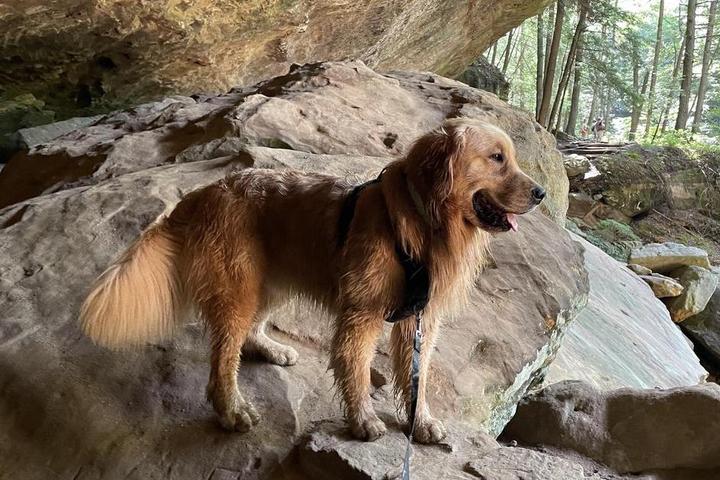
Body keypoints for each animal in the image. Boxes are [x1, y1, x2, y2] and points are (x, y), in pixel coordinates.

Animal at [79, 116, 544, 442]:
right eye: (497, 158)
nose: (540, 193)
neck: (421, 220)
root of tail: (205, 192)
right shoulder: (362, 314)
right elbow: (356, 371)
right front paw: (362, 420)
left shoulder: (419, 320)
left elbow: (419, 376)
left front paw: (421, 421)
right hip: (239, 288)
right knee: (223, 359)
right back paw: (232, 409)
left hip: (273, 282)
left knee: (250, 330)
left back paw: (270, 348)